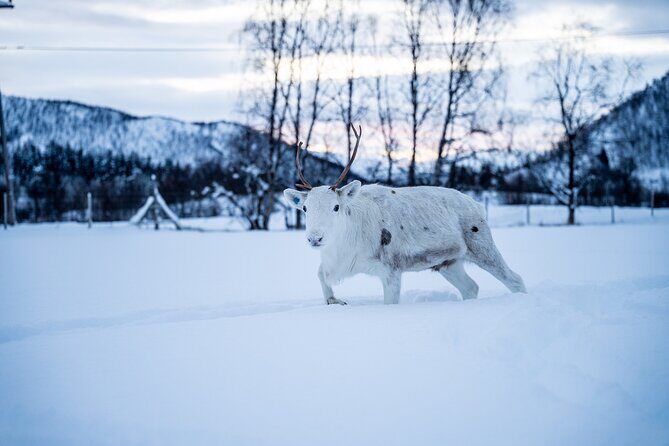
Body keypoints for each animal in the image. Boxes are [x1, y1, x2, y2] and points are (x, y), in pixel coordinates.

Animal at [284, 125, 527, 305]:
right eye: (305, 208)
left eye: (336, 207)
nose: (315, 238)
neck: (344, 248)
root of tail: (478, 205)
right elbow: (321, 276)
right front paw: (336, 300)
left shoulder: (392, 268)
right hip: (449, 262)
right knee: (471, 287)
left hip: (482, 244)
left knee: (515, 279)